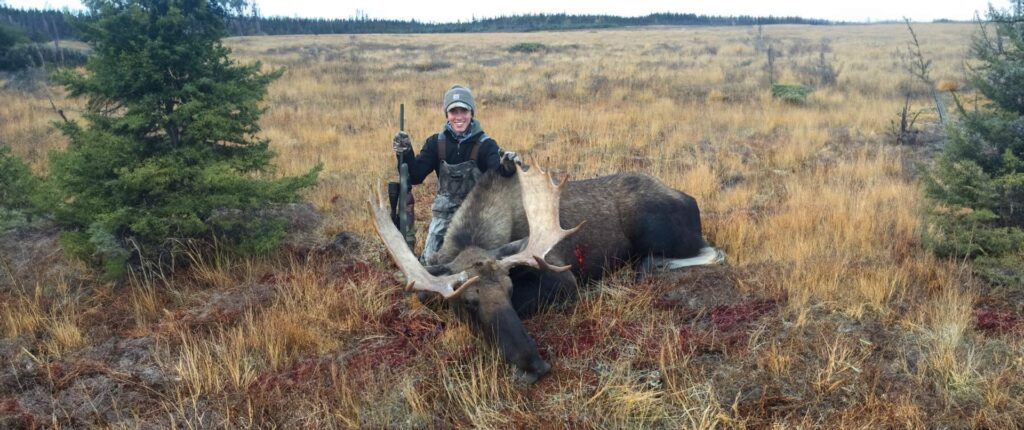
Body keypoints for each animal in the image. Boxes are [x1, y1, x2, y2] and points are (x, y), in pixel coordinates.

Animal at [369, 158, 723, 383]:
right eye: (469, 302)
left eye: (509, 289)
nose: (535, 365)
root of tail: (690, 200)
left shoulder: (564, 278)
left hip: (659, 234)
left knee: (710, 253)